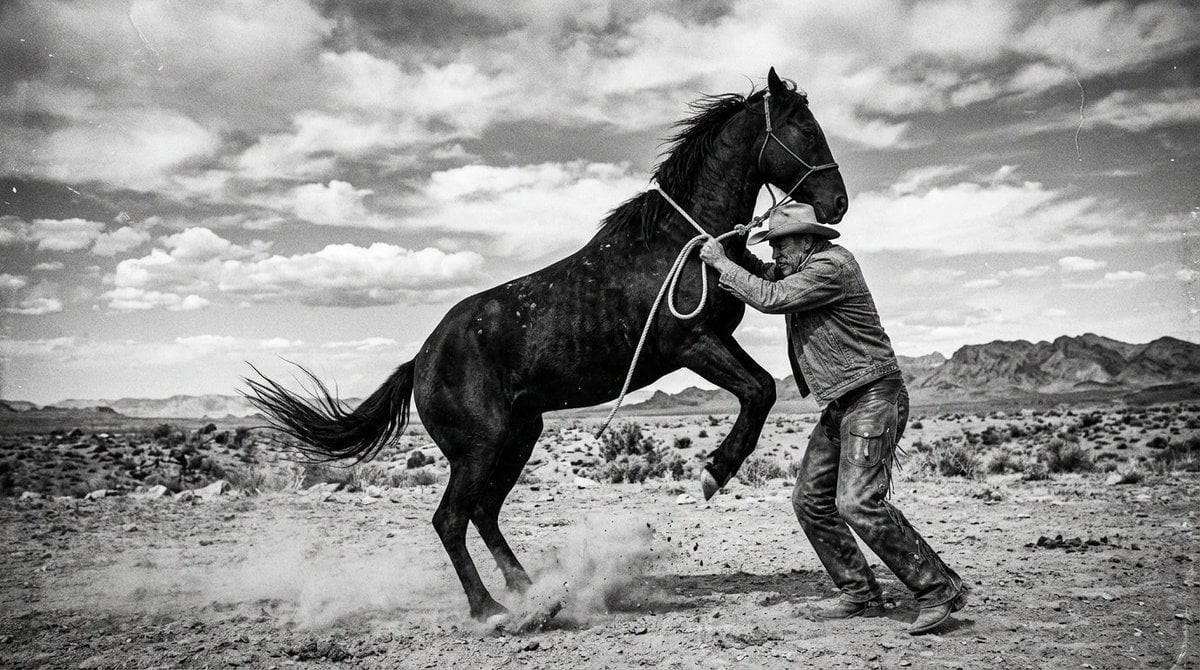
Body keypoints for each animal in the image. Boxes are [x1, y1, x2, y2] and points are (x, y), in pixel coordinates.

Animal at [245, 67, 848, 620]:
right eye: (804, 129)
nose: (837, 203)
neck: (683, 242)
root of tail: (420, 360)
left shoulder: (714, 339)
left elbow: (761, 388)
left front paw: (715, 469)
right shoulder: (691, 343)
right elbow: (760, 390)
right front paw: (712, 472)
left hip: (518, 436)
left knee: (483, 514)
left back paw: (532, 592)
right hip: (480, 447)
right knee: (451, 519)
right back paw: (491, 611)